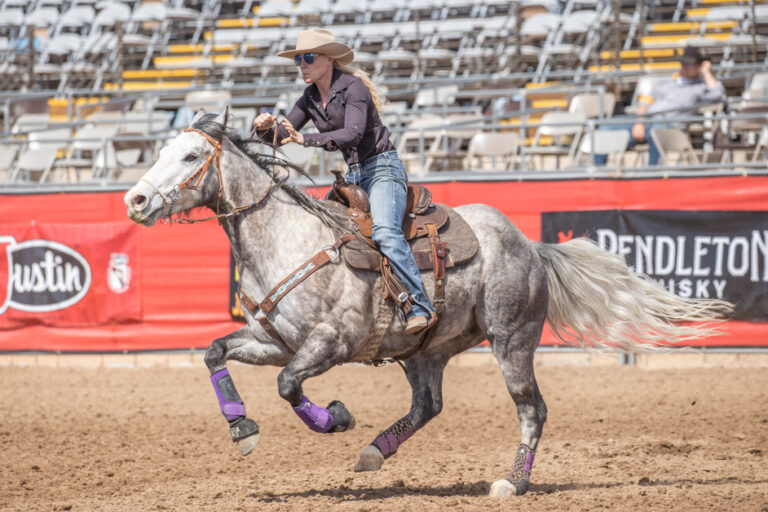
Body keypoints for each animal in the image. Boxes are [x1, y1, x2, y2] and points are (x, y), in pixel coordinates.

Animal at [123, 110, 731, 498]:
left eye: (191, 155)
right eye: (160, 151)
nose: (136, 199)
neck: (287, 238)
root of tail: (530, 245)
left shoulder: (330, 342)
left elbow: (289, 386)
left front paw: (336, 417)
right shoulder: (272, 341)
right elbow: (215, 352)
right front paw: (242, 430)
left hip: (512, 342)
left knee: (531, 408)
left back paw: (512, 482)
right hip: (423, 351)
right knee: (428, 405)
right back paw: (375, 452)